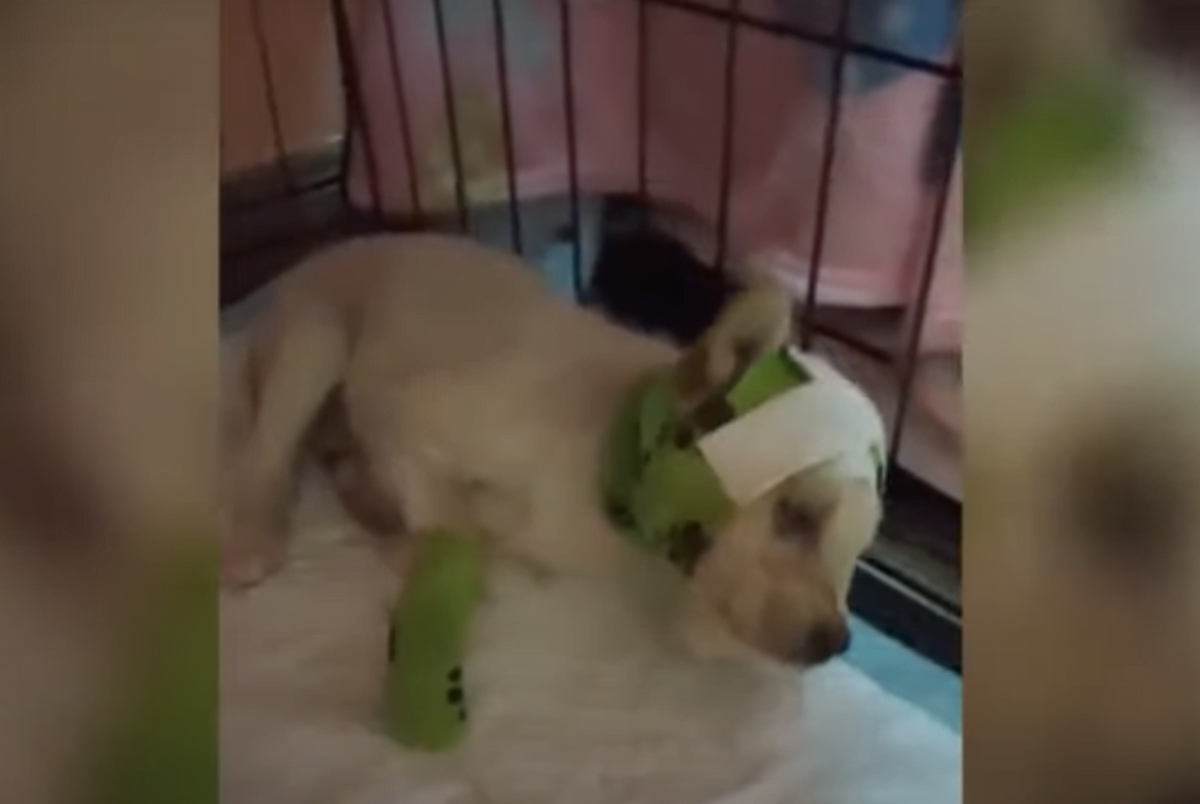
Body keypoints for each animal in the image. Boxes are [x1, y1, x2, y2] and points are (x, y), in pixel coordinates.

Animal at [224, 233, 884, 669]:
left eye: (856, 552)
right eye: (796, 516)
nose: (836, 642)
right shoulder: (403, 416)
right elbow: (467, 538)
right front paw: (427, 554)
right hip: (313, 343)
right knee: (263, 456)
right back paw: (258, 537)